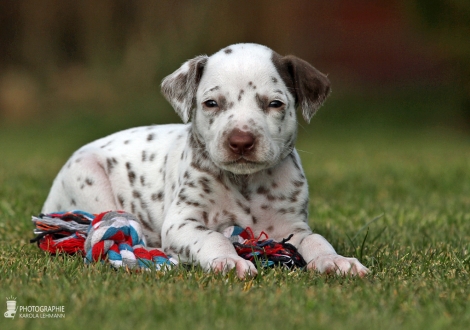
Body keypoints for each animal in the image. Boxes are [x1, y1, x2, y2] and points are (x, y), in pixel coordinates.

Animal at [42, 42, 370, 278]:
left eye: (275, 104)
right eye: (211, 103)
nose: (241, 141)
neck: (245, 183)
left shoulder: (291, 227)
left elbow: (316, 240)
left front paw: (336, 260)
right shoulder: (182, 223)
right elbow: (213, 237)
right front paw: (229, 260)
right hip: (90, 180)